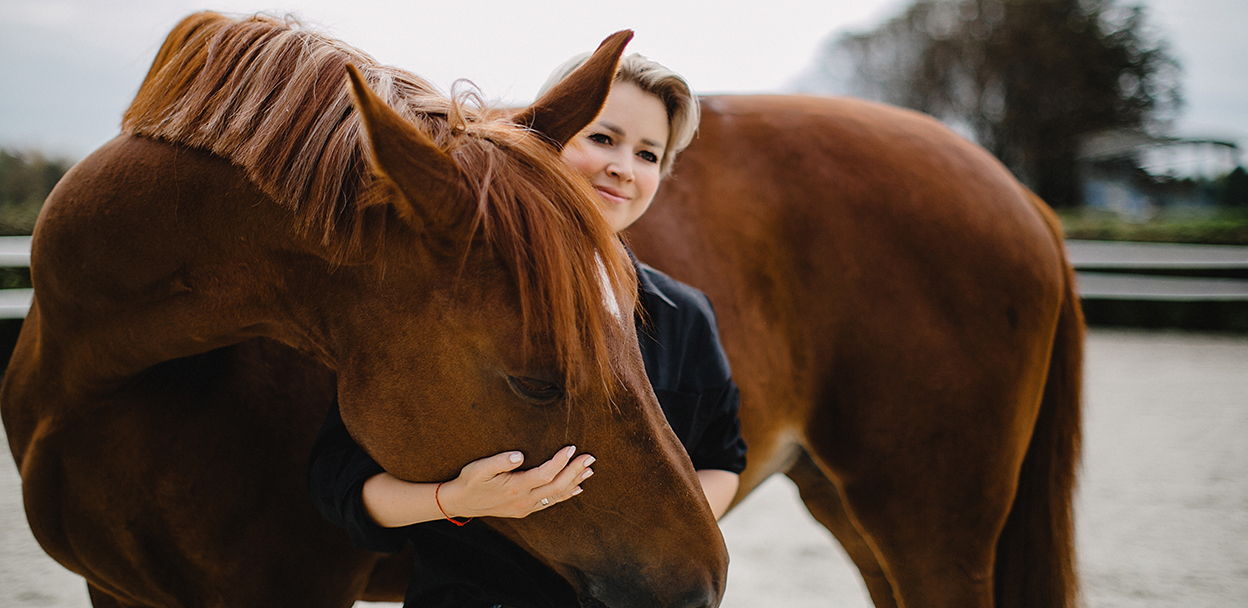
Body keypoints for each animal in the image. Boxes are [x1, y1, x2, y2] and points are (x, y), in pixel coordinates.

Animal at [2, 8, 1083, 608]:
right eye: (532, 375)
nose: (698, 584)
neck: (107, 378)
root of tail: (1020, 195)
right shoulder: (118, 592)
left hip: (931, 522)